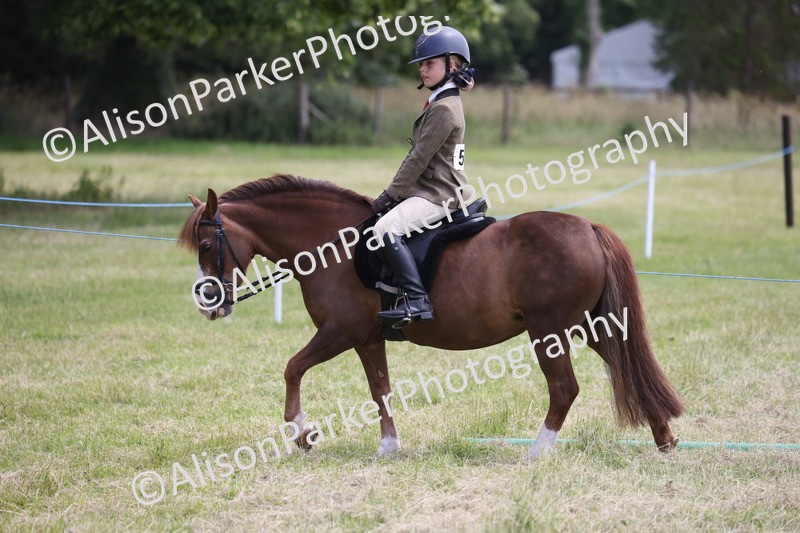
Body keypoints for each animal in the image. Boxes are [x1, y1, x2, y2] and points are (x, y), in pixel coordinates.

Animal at [179, 174, 684, 458]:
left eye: (205, 245)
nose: (206, 301)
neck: (333, 244)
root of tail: (587, 228)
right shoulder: (367, 337)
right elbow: (380, 389)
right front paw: (388, 446)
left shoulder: (339, 331)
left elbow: (292, 368)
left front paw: (303, 433)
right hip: (590, 326)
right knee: (628, 366)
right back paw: (663, 437)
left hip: (550, 331)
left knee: (564, 389)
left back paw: (538, 453)